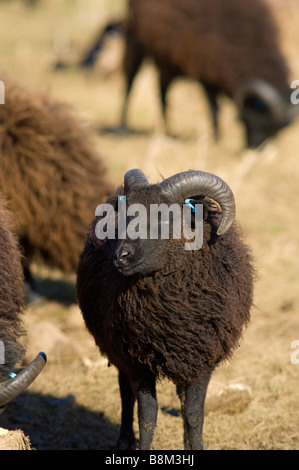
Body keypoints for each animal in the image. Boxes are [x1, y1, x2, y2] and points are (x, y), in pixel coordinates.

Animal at [77, 170, 255, 452]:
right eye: (125, 215)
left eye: (165, 217)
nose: (121, 256)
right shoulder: (136, 359)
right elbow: (147, 414)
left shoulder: (202, 359)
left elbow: (193, 414)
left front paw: (195, 446)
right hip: (117, 348)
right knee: (125, 394)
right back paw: (124, 441)